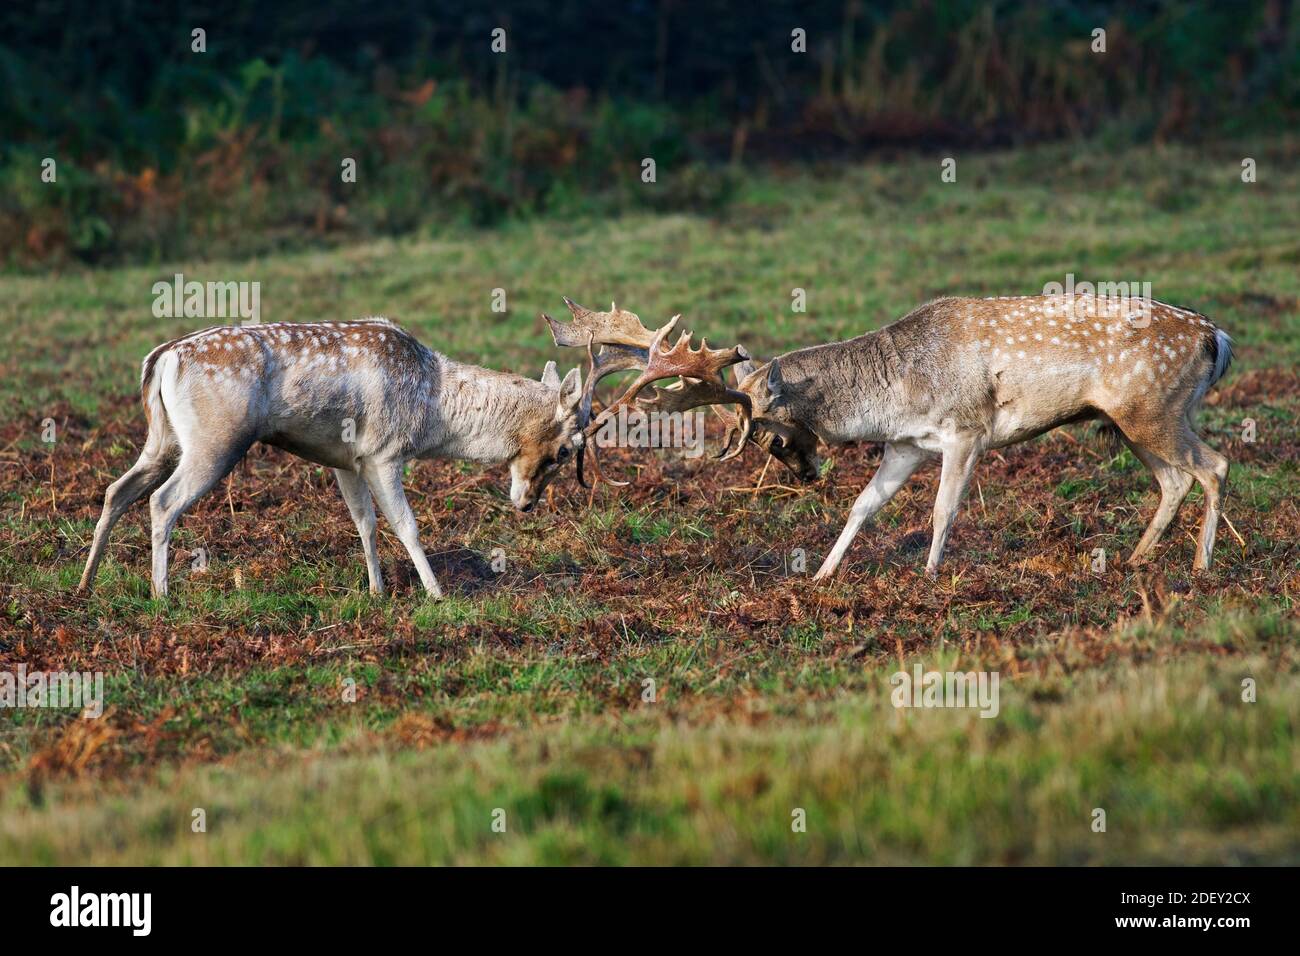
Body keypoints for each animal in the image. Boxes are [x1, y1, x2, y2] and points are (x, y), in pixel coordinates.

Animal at [77, 319, 590, 598]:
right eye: (566, 449)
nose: (526, 504)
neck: (433, 409)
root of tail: (161, 359)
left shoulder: (348, 460)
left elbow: (365, 522)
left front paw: (377, 591)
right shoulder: (384, 451)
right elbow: (407, 525)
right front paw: (437, 594)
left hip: (162, 440)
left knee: (116, 490)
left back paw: (85, 583)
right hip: (214, 441)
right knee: (161, 501)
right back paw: (161, 594)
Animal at [728, 293, 1232, 574]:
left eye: (772, 438)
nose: (807, 476)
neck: (893, 397)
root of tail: (1217, 338)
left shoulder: (967, 430)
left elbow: (942, 511)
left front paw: (930, 576)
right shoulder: (905, 446)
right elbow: (863, 505)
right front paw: (821, 576)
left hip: (1153, 410)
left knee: (1215, 466)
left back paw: (1201, 567)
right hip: (1134, 420)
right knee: (1176, 480)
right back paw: (1135, 560)